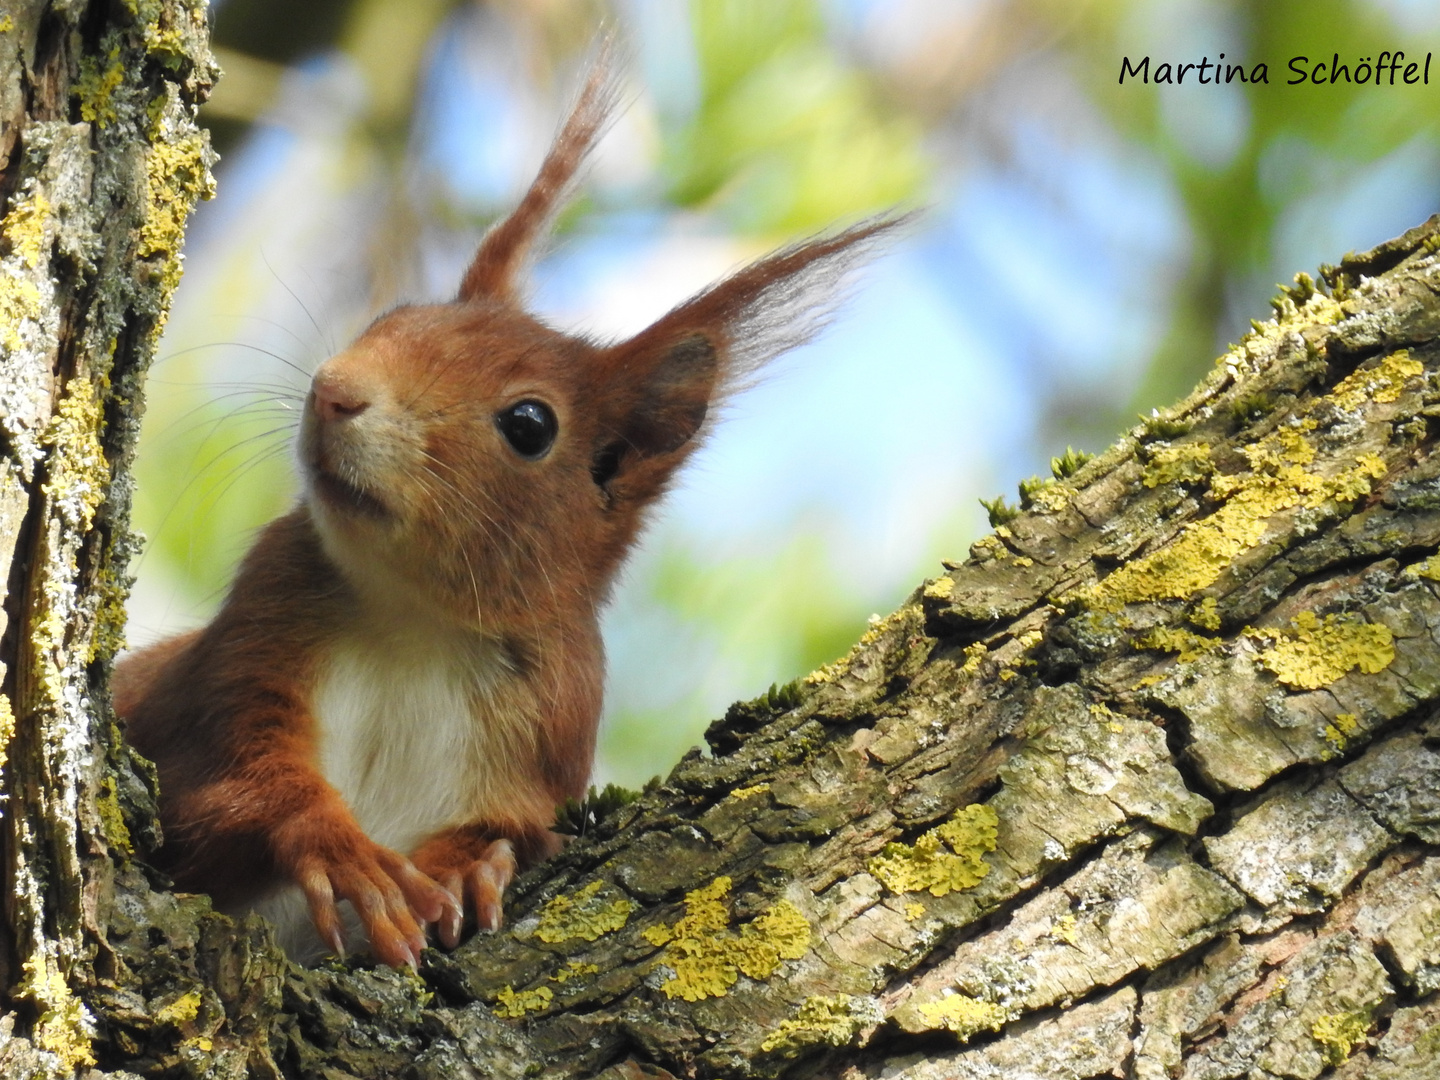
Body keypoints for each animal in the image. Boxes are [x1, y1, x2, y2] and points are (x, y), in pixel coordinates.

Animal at [115, 55, 898, 967]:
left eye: (530, 425)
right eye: (396, 315)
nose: (335, 391)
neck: (414, 626)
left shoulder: (552, 727)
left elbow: (523, 833)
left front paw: (470, 862)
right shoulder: (252, 648)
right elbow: (216, 791)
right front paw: (342, 853)